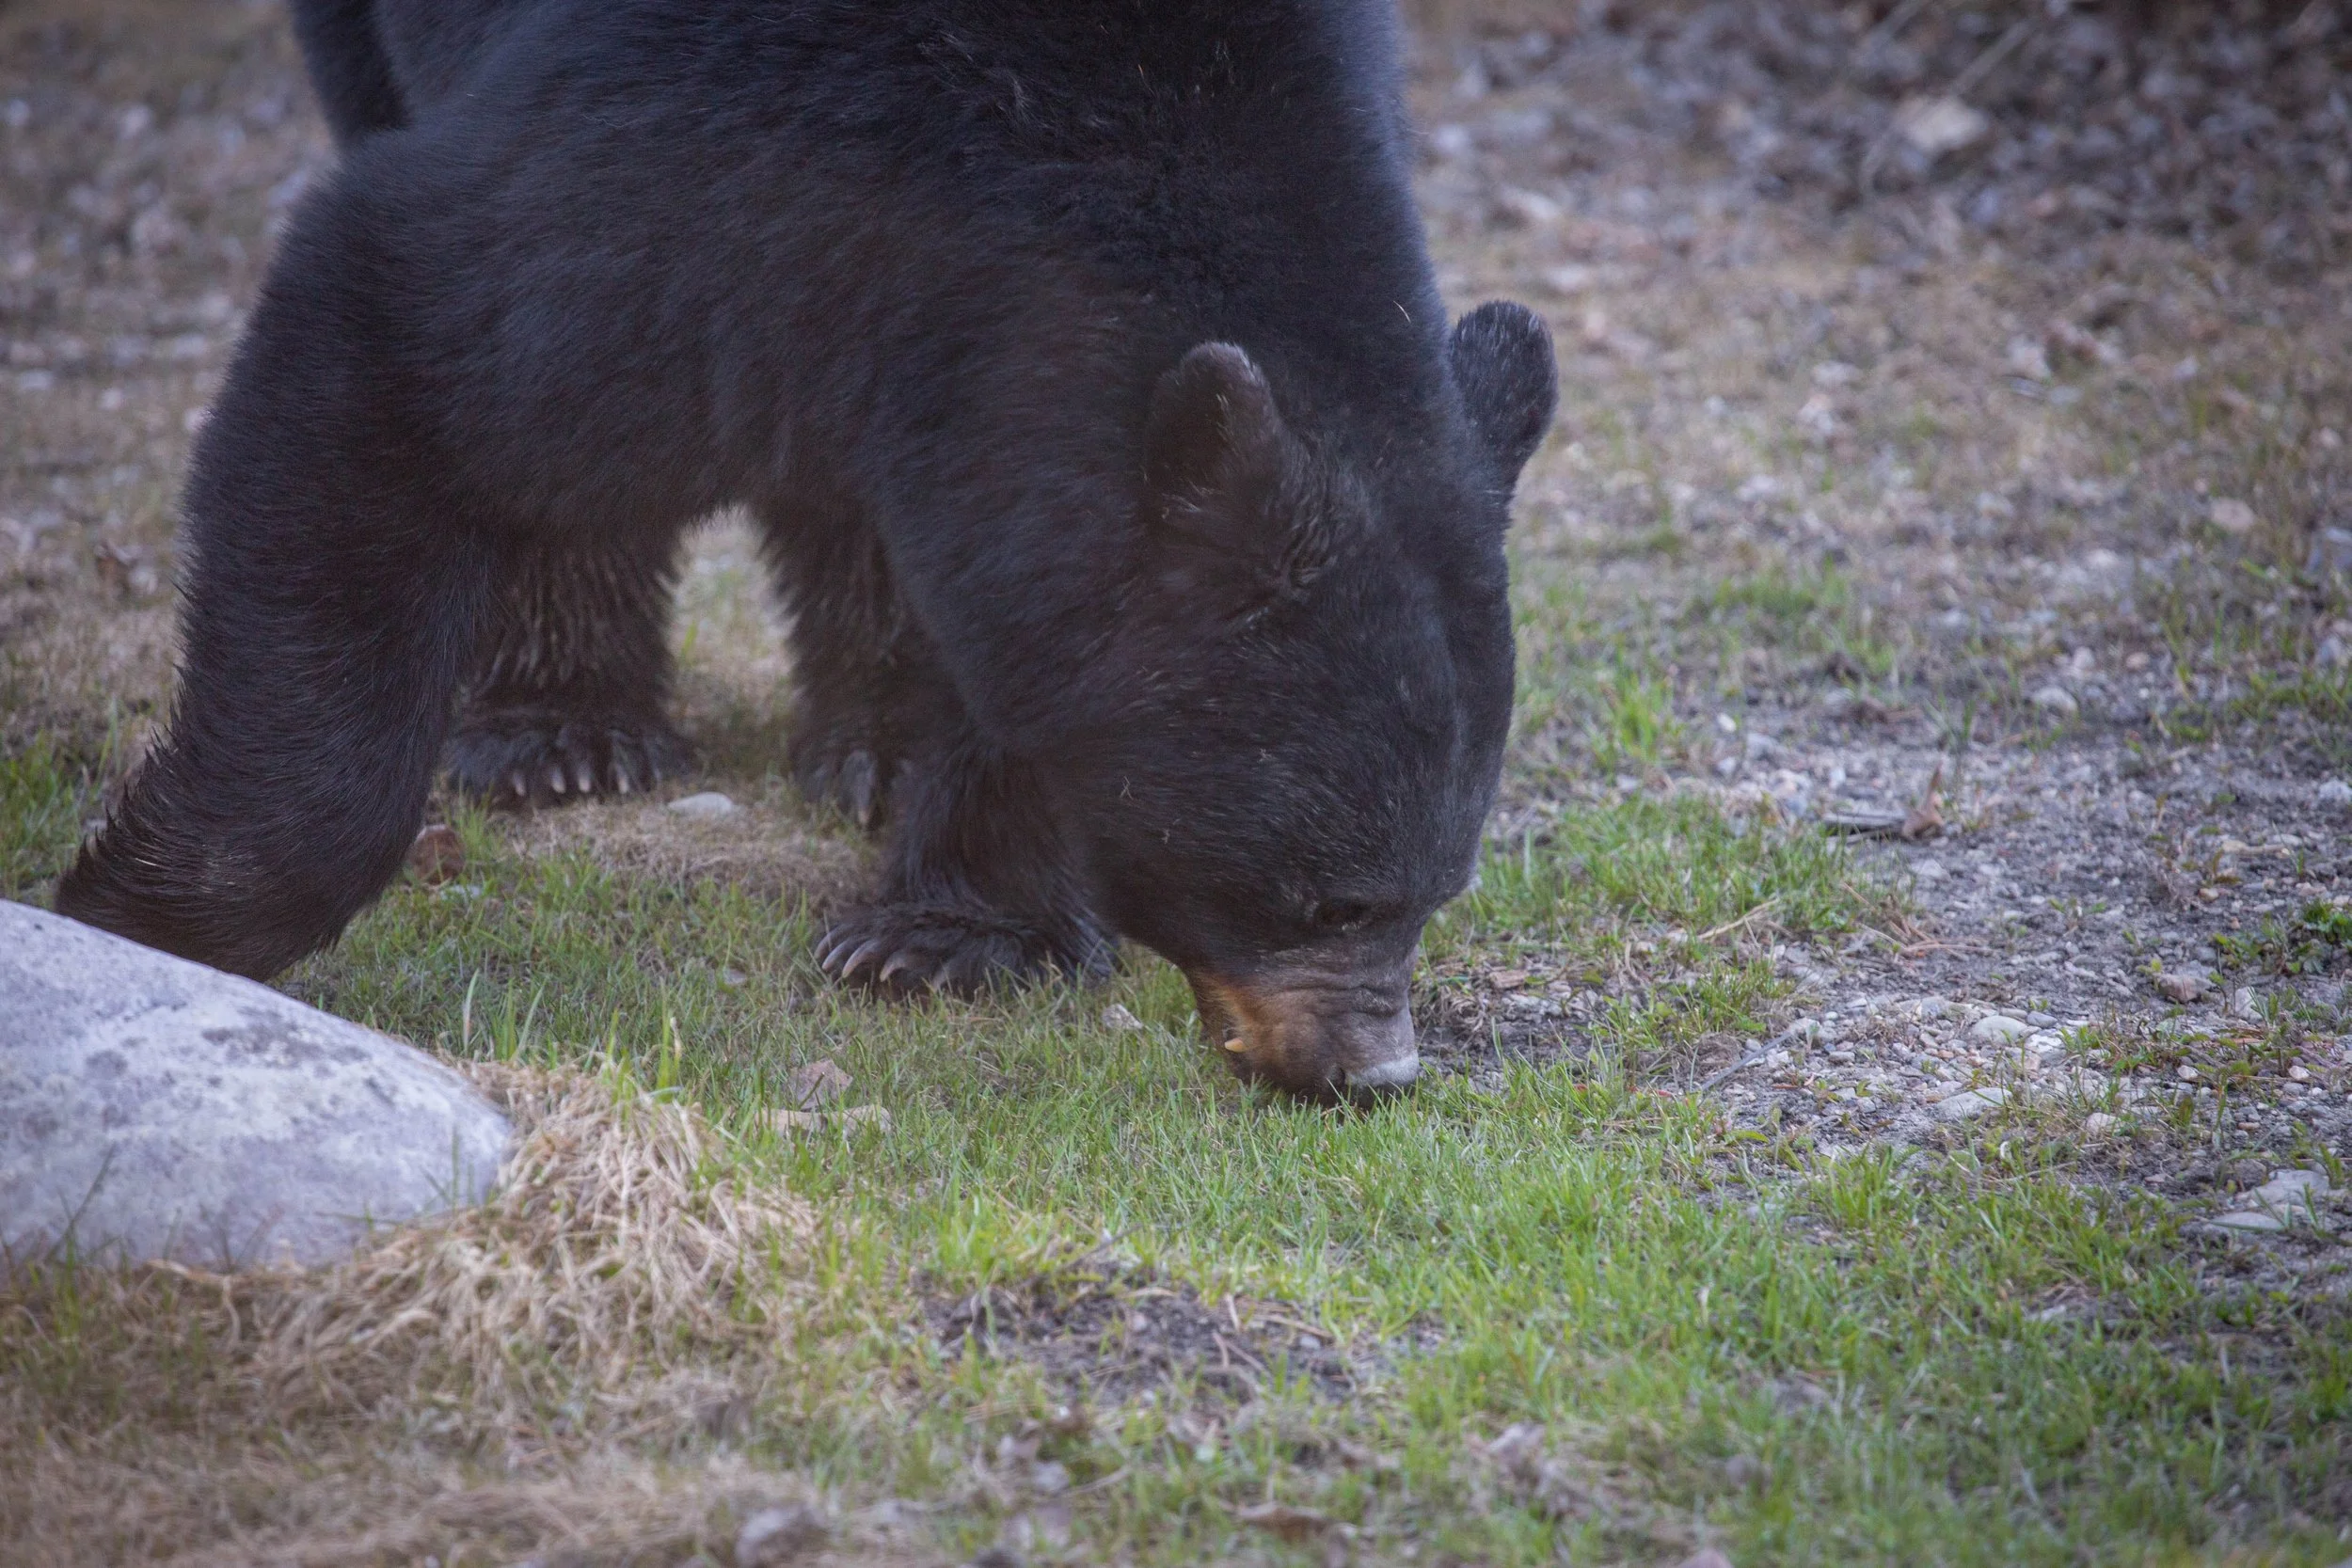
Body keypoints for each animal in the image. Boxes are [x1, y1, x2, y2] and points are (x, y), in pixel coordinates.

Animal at [55, 0, 1558, 1102]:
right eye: (1324, 899)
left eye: (1438, 890)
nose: (1371, 1071)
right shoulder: (704, 140)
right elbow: (394, 333)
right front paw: (141, 906)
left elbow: (1026, 629)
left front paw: (946, 934)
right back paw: (562, 728)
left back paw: (868, 746)